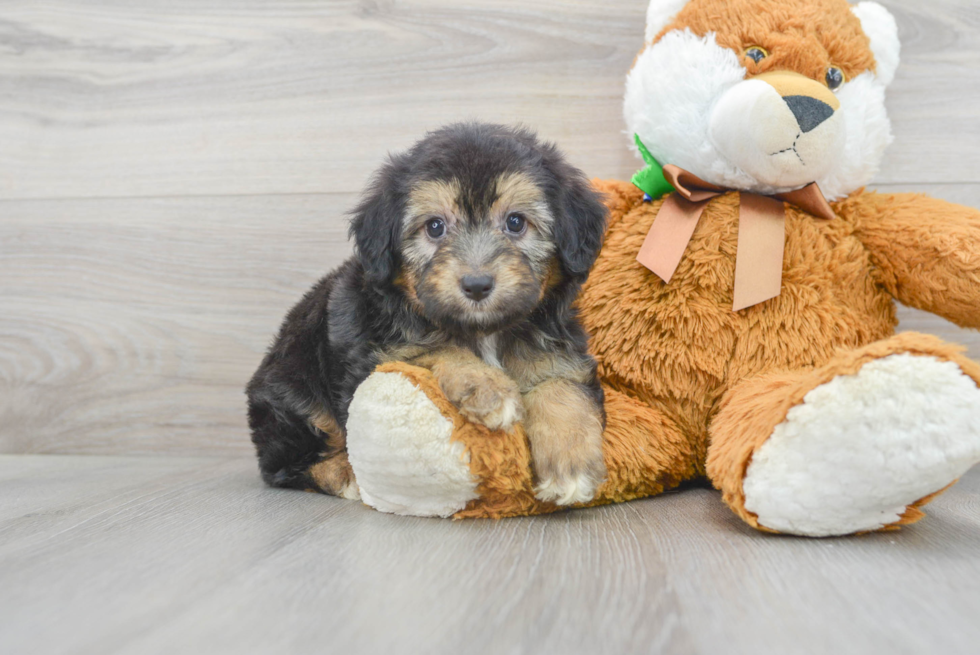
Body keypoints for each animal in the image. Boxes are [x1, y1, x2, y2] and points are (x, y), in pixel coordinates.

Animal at [247, 123, 604, 508]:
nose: (476, 285)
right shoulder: (377, 346)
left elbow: (559, 383)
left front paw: (571, 464)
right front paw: (487, 387)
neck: (484, 330)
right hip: (293, 392)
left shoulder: (558, 347)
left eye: (515, 222)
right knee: (283, 463)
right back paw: (343, 474)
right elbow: (434, 347)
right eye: (435, 227)